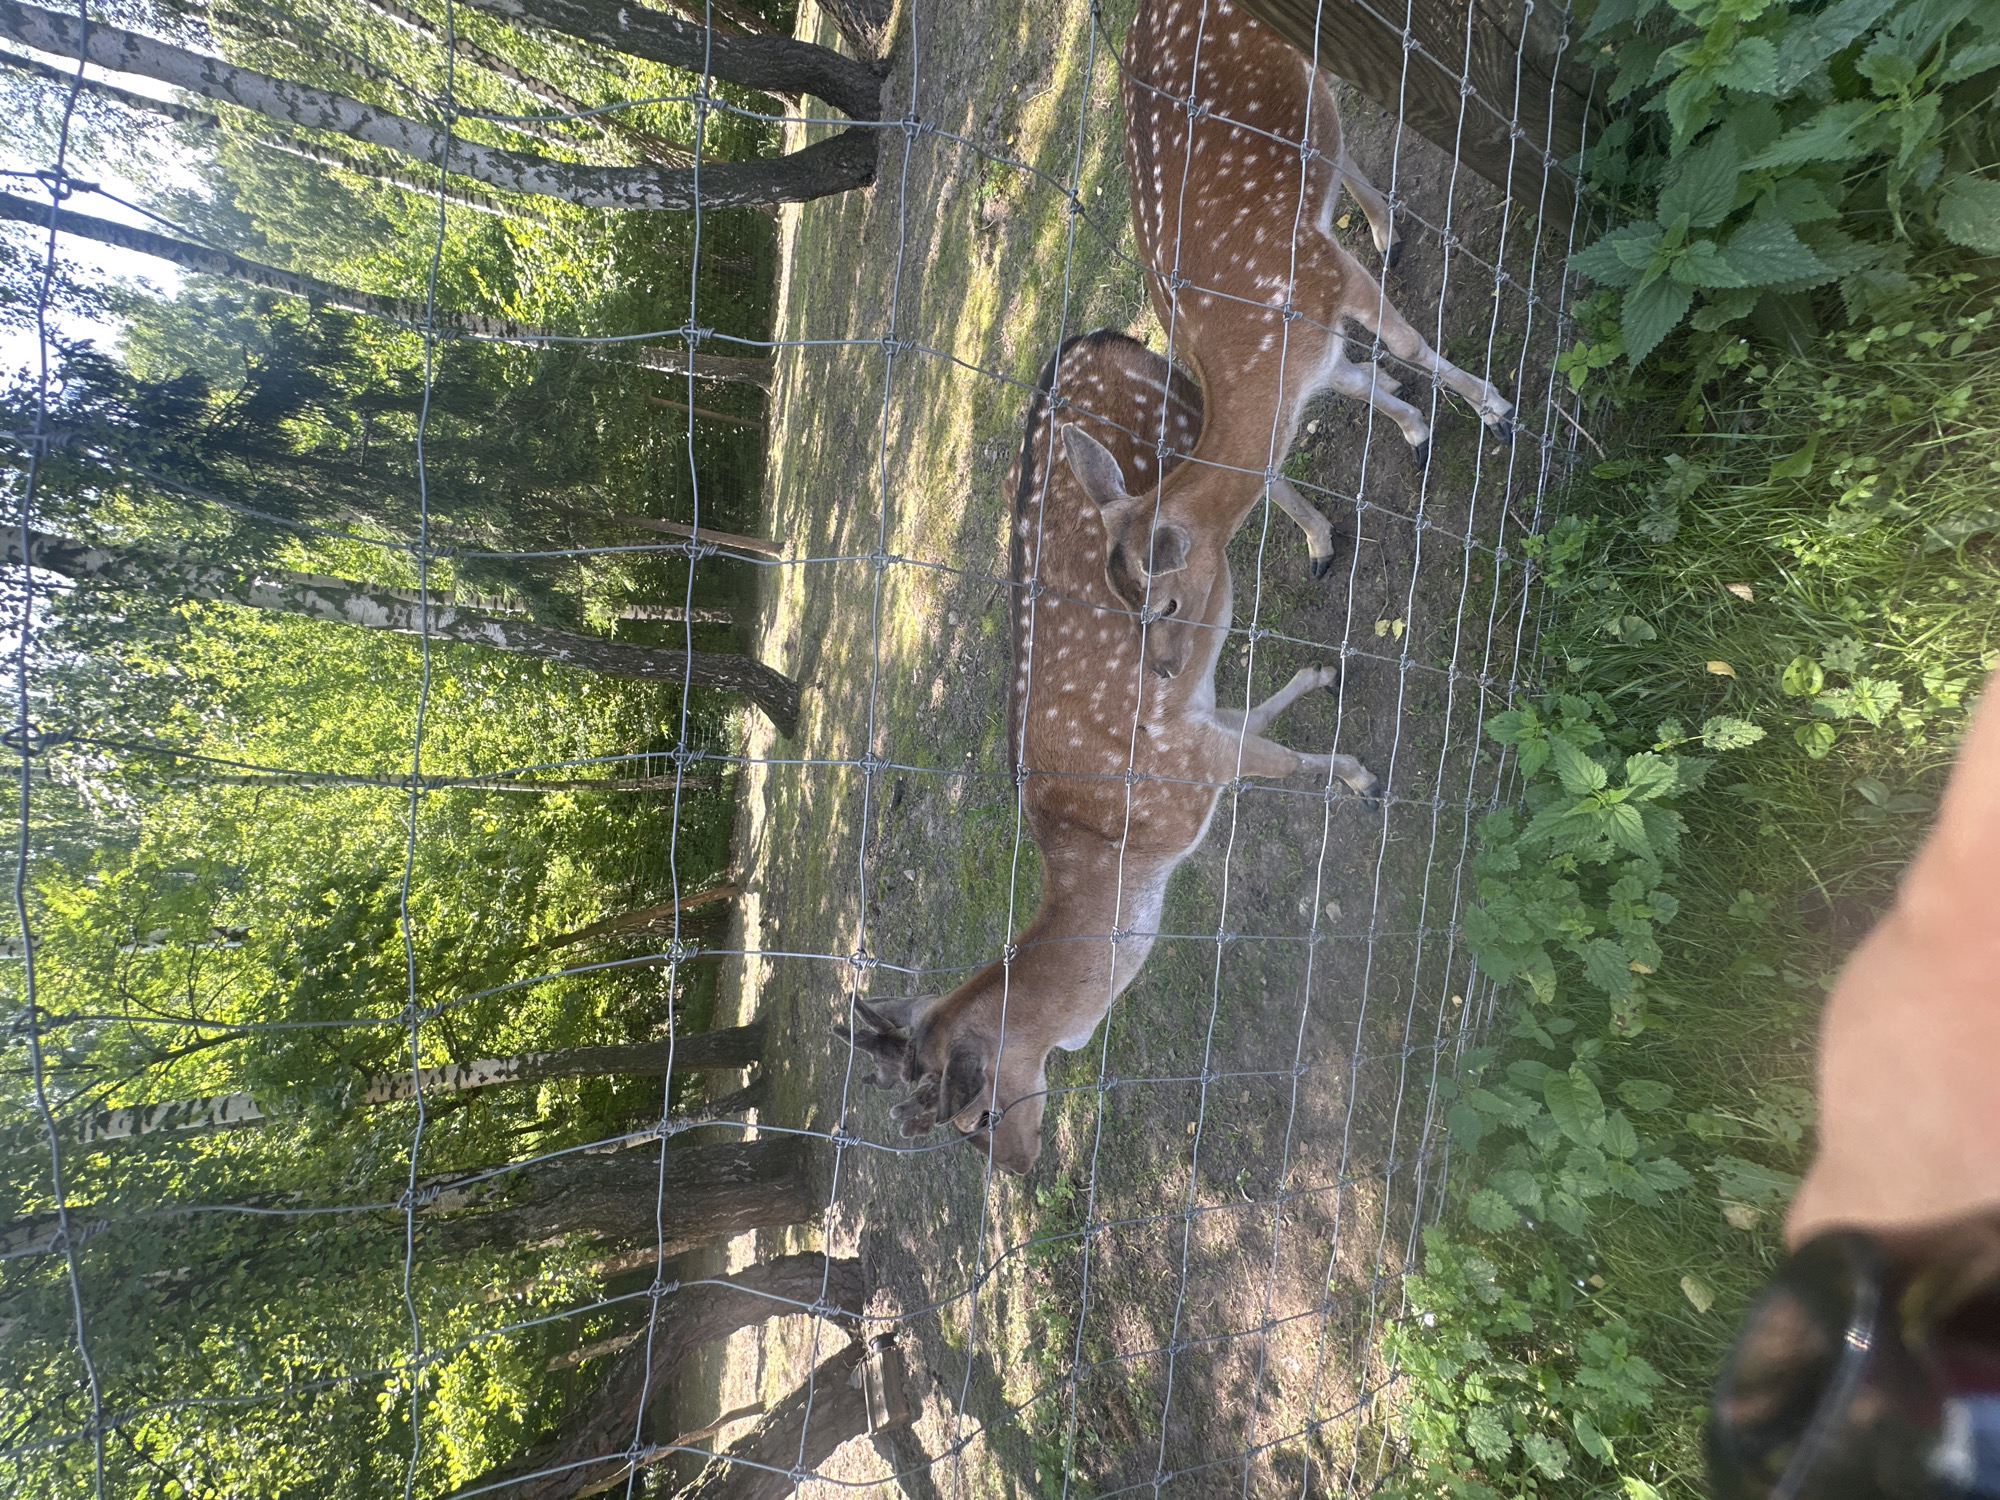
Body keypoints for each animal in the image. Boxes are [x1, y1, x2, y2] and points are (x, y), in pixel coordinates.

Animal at [836, 329, 1377, 1176]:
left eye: (974, 1117)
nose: (1019, 1168)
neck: (1123, 857)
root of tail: (1092, 339)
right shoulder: (1195, 723)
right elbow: (1255, 716)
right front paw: (1318, 677)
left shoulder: (1187, 763)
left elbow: (1282, 763)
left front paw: (1358, 778)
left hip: (1180, 425)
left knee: (1259, 462)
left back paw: (1323, 538)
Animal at [1116, 0, 1515, 589]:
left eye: (1164, 598)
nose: (1319, 552)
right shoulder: (1314, 341)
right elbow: (1351, 384)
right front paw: (1415, 432)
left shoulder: (1327, 271)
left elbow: (1407, 345)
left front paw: (1494, 410)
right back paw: (1383, 231)